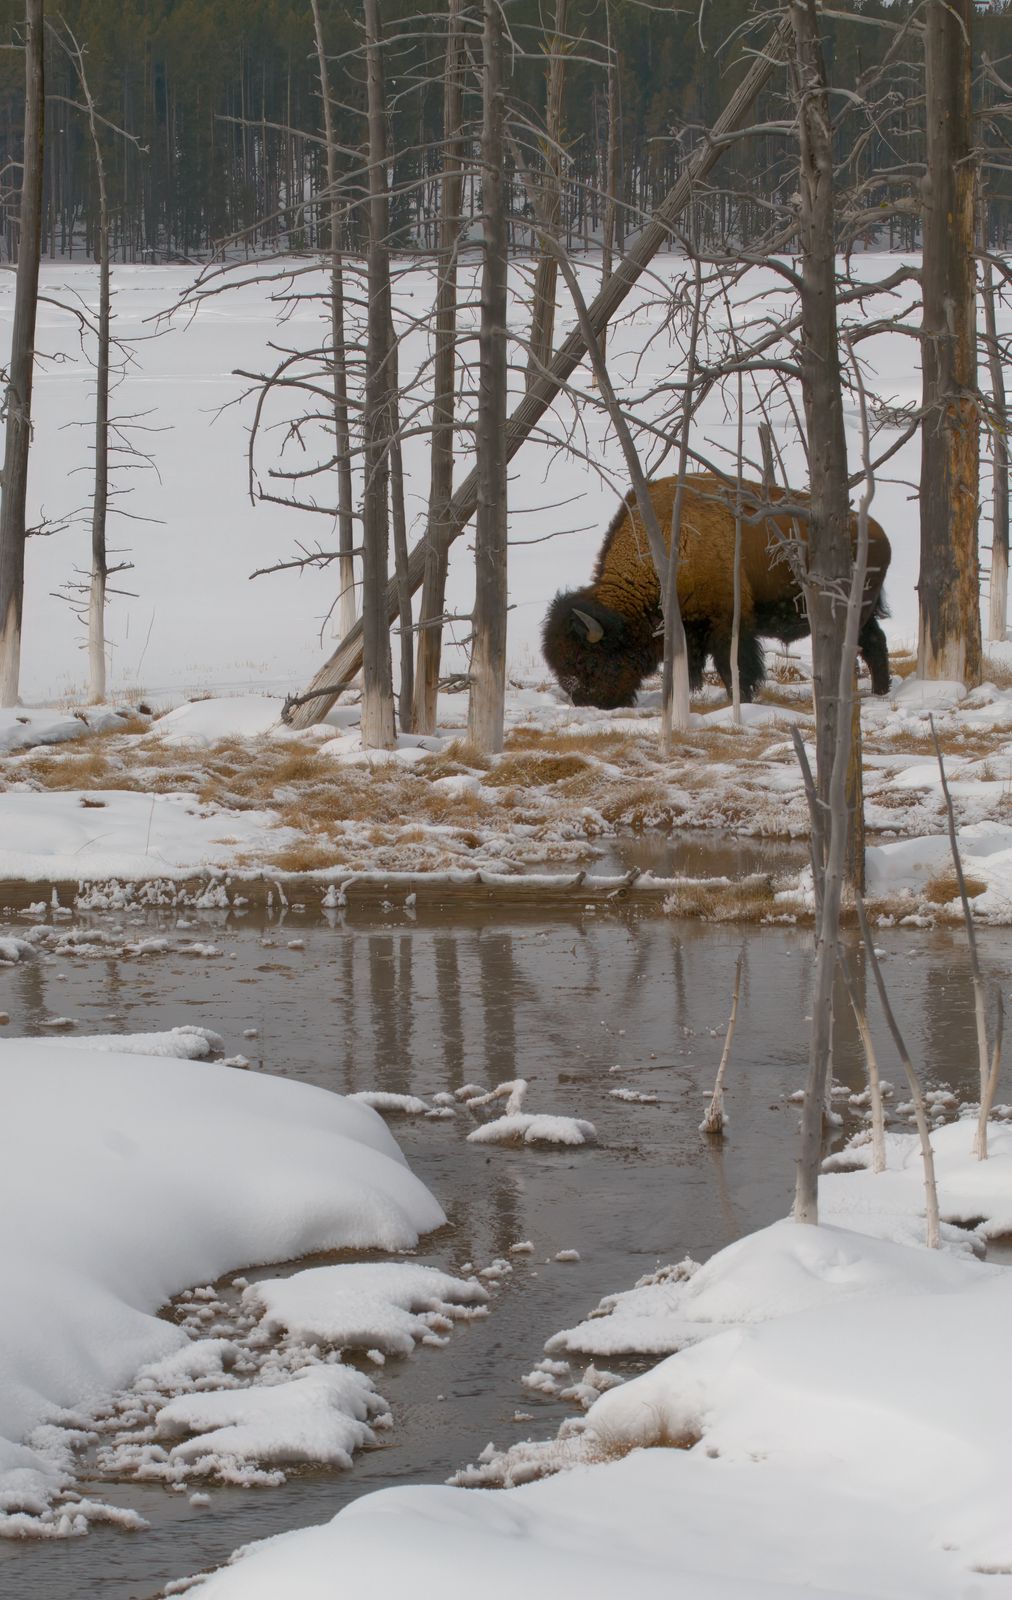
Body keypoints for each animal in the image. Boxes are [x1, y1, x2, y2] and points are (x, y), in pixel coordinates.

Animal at [542, 472, 892, 708]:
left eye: (587, 662)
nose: (587, 701)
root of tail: (877, 531)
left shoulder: (728, 621)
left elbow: (733, 664)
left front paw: (742, 699)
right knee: (875, 642)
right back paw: (880, 691)